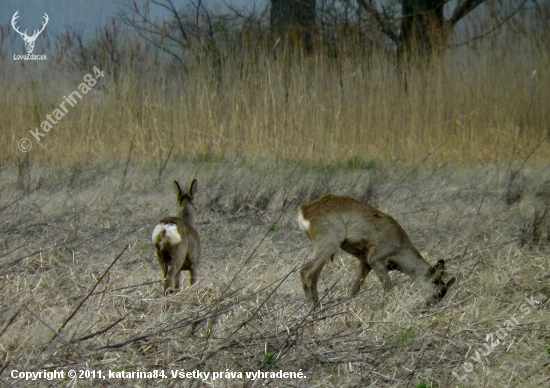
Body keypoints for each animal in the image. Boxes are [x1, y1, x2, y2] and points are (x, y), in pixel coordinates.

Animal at [298, 196, 458, 308]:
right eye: (438, 290)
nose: (430, 305)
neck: (399, 248)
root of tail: (304, 211)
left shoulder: (365, 262)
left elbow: (355, 289)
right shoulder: (375, 258)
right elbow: (389, 287)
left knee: (314, 276)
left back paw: (317, 308)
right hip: (328, 243)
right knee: (305, 271)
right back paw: (311, 310)